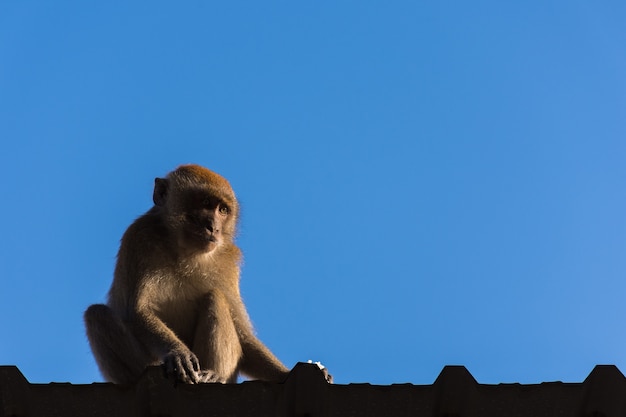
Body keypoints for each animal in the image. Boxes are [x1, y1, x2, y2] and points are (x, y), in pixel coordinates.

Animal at [82, 165, 292, 384]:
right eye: (206, 203)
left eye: (223, 210)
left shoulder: (228, 264)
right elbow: (137, 311)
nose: (213, 227)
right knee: (97, 314)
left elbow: (243, 335)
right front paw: (178, 352)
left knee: (215, 297)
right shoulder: (138, 238)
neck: (186, 253)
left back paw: (214, 375)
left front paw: (284, 373)